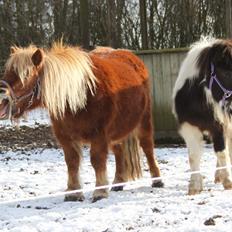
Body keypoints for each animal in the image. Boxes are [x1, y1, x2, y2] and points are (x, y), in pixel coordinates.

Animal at [0, 42, 163, 202]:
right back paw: (118, 183)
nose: (2, 102)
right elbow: (72, 162)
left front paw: (100, 191)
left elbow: (97, 160)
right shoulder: (65, 137)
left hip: (143, 122)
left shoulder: (99, 136)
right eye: (6, 72)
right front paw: (73, 192)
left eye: (26, 76)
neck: (80, 96)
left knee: (148, 148)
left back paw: (157, 180)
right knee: (119, 151)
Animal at [172, 37, 232, 194]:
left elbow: (222, 152)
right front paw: (194, 186)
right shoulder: (189, 127)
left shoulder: (220, 127)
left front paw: (228, 181)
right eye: (226, 72)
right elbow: (193, 156)